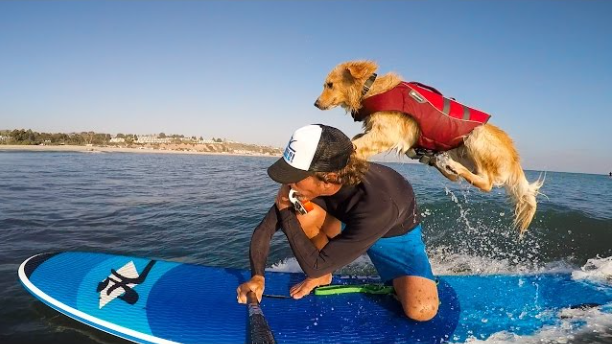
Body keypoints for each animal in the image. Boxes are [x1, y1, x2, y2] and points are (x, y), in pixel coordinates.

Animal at [318, 61, 544, 234]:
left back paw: (452, 166)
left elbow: (356, 144)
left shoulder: (387, 134)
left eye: (330, 85)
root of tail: (515, 160)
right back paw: (445, 166)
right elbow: (355, 140)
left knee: (486, 182)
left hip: (476, 136)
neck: (370, 89)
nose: (315, 103)